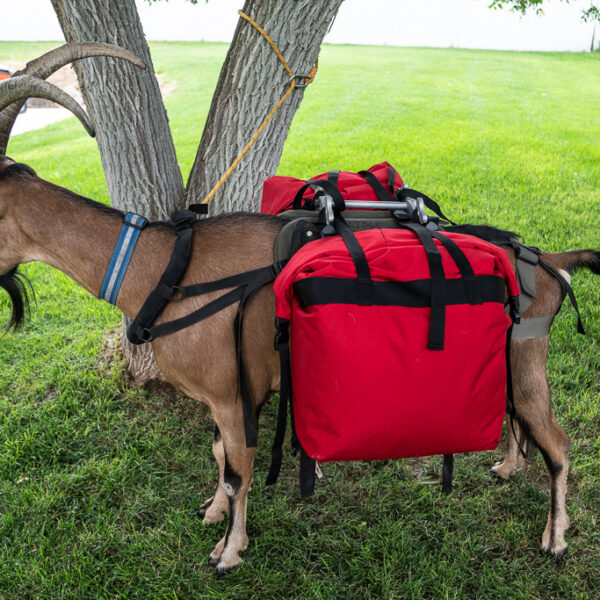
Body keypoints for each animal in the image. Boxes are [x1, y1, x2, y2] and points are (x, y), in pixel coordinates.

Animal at [1, 45, 600, 576]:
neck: (167, 268)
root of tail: (547, 261)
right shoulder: (232, 389)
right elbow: (218, 457)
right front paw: (213, 513)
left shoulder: (229, 393)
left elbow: (238, 468)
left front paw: (229, 552)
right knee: (522, 424)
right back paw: (508, 467)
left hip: (527, 354)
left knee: (558, 444)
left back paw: (555, 539)